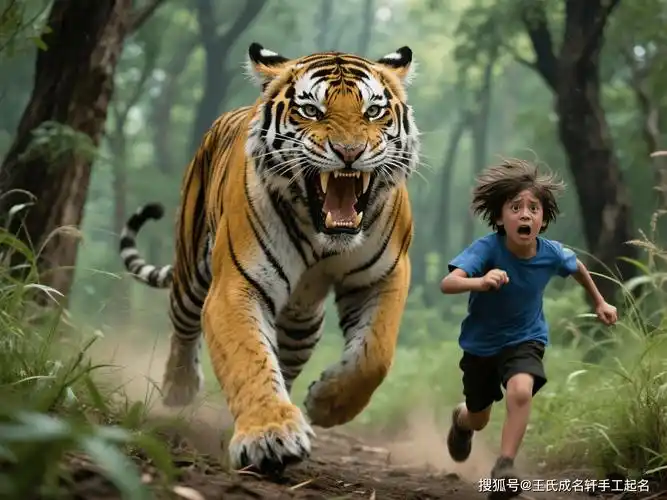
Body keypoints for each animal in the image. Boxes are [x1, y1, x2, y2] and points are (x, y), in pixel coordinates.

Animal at [119, 42, 420, 475]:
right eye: (311, 110)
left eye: (373, 111)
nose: (349, 153)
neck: (325, 238)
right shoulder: (235, 287)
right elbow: (250, 358)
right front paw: (270, 436)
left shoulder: (383, 277)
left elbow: (374, 355)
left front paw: (325, 404)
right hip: (190, 274)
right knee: (183, 328)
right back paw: (180, 388)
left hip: (303, 324)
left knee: (287, 361)